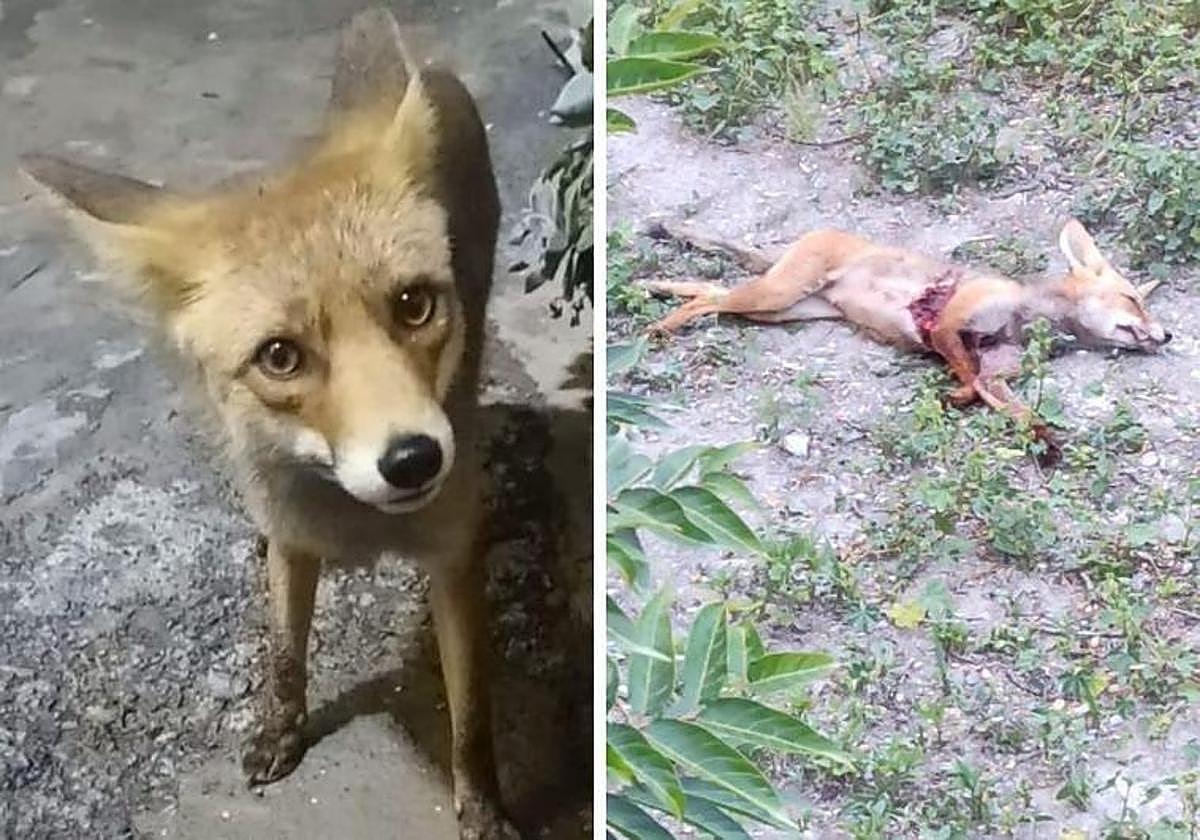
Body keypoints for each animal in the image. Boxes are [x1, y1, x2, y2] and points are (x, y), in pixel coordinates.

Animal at [22, 8, 520, 839]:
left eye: (413, 305)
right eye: (280, 357)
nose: (414, 460)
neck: (357, 524)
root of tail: (433, 70)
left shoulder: (451, 562)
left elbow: (473, 717)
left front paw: (482, 807)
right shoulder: (293, 539)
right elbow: (285, 655)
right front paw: (279, 734)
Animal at [645, 219, 1172, 455]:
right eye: (1133, 300)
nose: (1166, 335)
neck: (1026, 318)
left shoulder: (997, 375)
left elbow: (1012, 408)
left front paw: (1045, 443)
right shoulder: (949, 323)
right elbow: (966, 373)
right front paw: (954, 394)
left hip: (779, 312)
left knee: (708, 290)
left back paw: (656, 291)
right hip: (775, 296)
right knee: (706, 299)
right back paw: (659, 325)